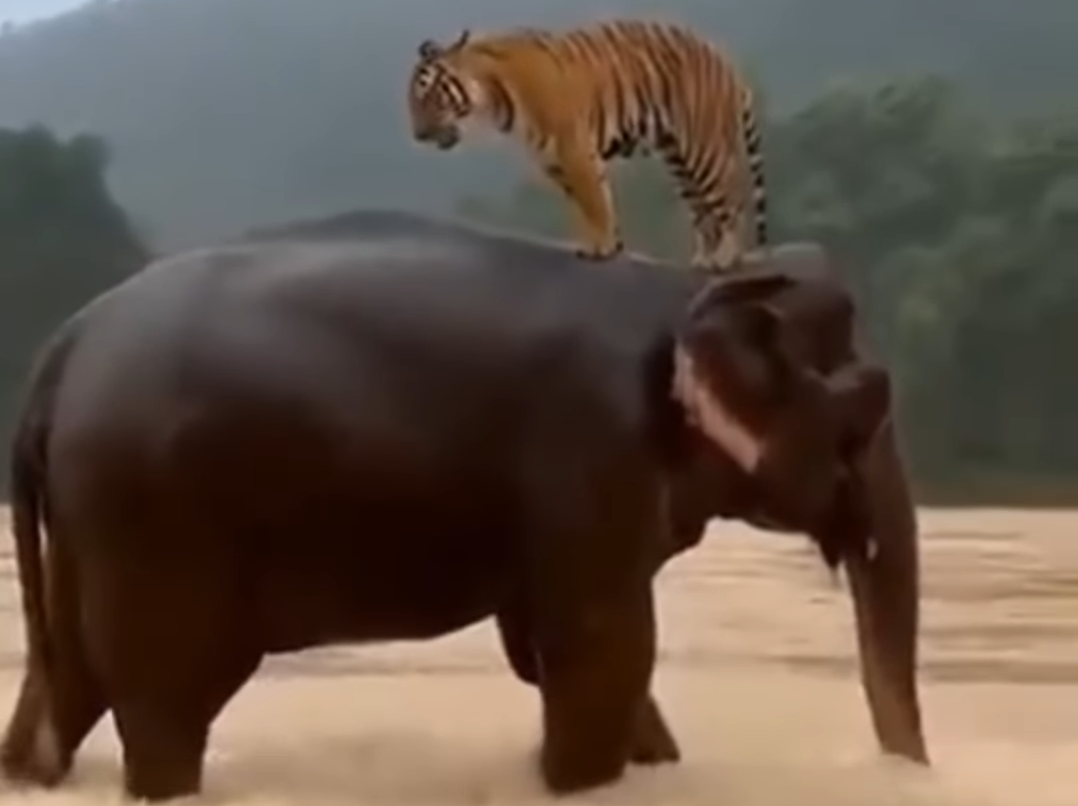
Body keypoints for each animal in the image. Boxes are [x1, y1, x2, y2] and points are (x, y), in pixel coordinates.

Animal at [0, 209, 928, 801]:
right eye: (870, 405)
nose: (911, 772)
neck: (685, 283)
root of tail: (58, 351)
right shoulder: (592, 447)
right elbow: (602, 650)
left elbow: (553, 651)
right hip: (149, 509)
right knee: (164, 698)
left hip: (93, 513)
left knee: (69, 681)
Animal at [406, 19, 768, 271]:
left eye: (427, 96)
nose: (417, 135)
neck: (491, 97)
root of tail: (728, 64)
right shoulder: (555, 159)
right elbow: (586, 204)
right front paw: (600, 243)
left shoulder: (573, 149)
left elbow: (594, 201)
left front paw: (602, 247)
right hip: (679, 158)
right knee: (703, 211)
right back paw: (703, 260)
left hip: (704, 149)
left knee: (730, 201)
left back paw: (725, 259)